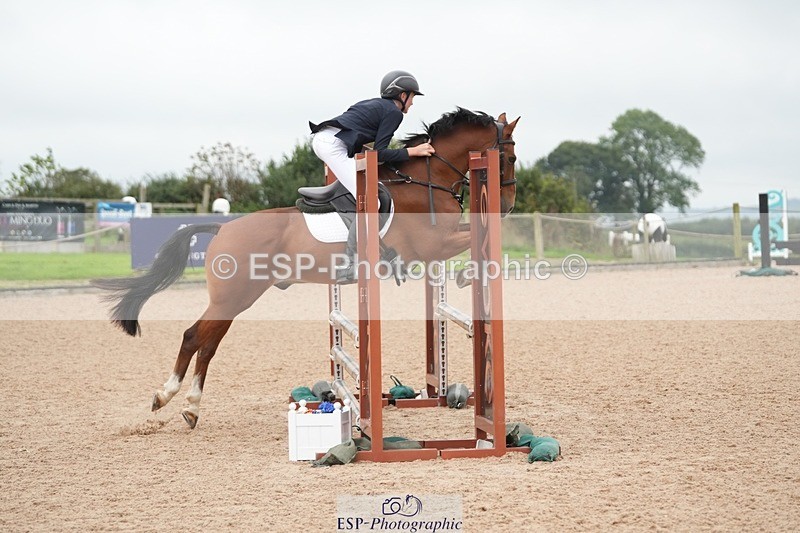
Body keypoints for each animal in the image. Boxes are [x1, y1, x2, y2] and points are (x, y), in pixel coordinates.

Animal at [93, 107, 519, 428]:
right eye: (511, 157)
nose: (509, 204)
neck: (425, 180)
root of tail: (223, 228)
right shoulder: (433, 244)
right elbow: (476, 237)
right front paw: (467, 273)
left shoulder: (436, 247)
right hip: (234, 297)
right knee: (196, 337)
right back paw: (169, 398)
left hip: (235, 299)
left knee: (205, 342)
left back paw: (187, 406)